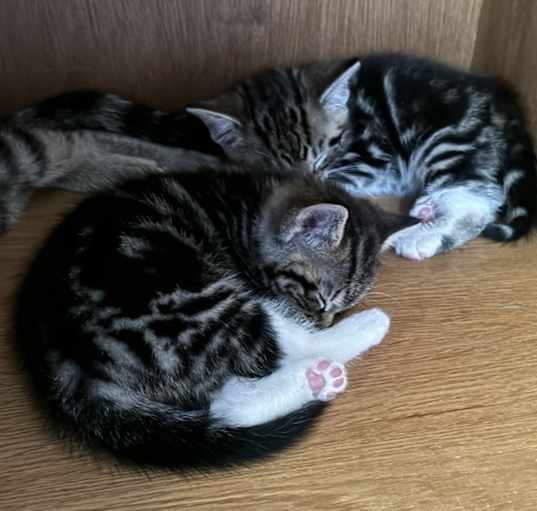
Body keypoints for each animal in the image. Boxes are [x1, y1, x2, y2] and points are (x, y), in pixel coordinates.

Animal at [15, 166, 414, 470]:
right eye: (318, 298)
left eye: (339, 305)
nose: (323, 321)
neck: (248, 209)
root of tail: (66, 366)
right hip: (185, 305)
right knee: (268, 346)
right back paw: (351, 341)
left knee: (225, 399)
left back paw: (316, 378)